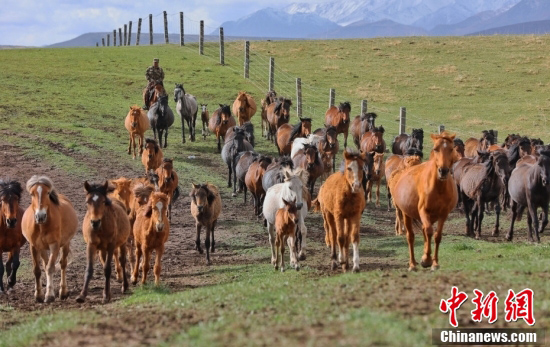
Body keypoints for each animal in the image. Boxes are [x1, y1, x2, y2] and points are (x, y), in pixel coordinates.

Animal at [22, 175, 78, 304]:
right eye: (32, 194)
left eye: (47, 193)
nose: (40, 216)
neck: (42, 226)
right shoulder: (33, 246)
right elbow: (37, 270)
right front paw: (38, 295)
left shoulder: (55, 245)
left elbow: (50, 268)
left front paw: (49, 295)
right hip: (42, 248)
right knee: (46, 263)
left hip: (65, 244)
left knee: (62, 264)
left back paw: (63, 292)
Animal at [394, 133, 460, 272]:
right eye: (435, 149)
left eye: (451, 149)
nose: (443, 171)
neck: (438, 188)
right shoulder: (424, 211)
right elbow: (429, 231)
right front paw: (427, 260)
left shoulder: (443, 214)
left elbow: (437, 236)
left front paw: (434, 263)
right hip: (406, 214)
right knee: (411, 236)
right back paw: (412, 264)